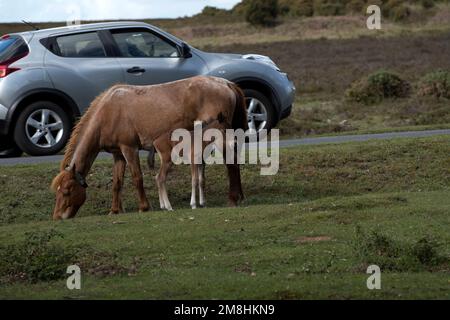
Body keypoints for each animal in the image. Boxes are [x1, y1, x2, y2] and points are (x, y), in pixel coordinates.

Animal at [51, 75, 248, 220]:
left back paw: (232, 198)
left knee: (231, 164)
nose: (58, 217)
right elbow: (117, 183)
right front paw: (115, 210)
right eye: (57, 192)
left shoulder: (129, 149)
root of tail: (226, 83)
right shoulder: (118, 154)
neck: (108, 111)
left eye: (67, 191)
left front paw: (144, 207)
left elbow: (137, 178)